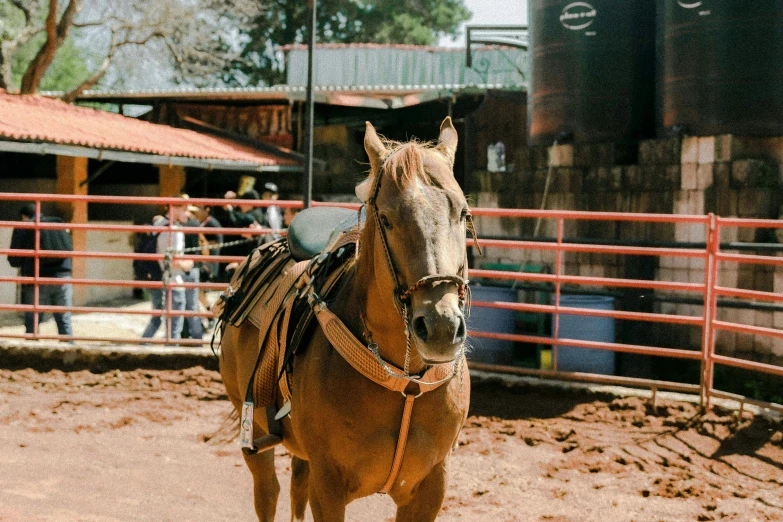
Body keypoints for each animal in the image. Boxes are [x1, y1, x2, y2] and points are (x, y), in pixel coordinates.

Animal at [224, 118, 474, 520]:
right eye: (386, 218)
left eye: (463, 213)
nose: (440, 328)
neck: (404, 382)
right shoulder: (328, 487)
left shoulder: (431, 488)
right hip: (252, 426)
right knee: (268, 492)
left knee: (295, 486)